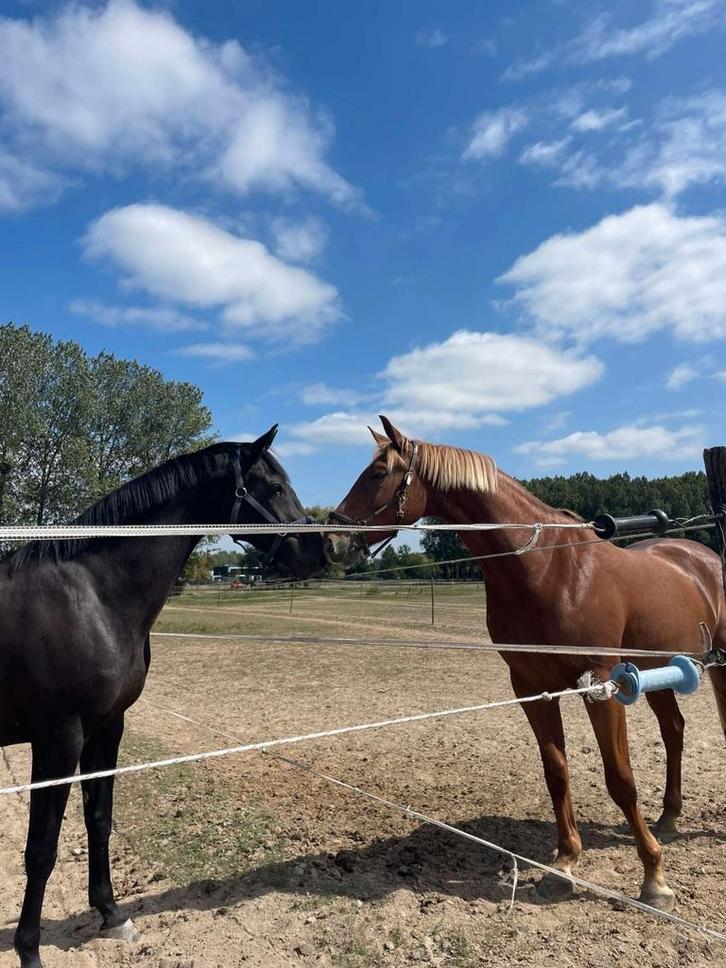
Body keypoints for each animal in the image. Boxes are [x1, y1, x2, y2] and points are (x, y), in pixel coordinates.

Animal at [0, 427, 325, 968]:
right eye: (276, 487)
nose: (317, 550)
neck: (91, 594)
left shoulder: (107, 728)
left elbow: (99, 819)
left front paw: (111, 915)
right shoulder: (58, 739)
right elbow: (41, 849)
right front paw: (29, 950)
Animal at [324, 415, 726, 912]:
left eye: (378, 474)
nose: (333, 540)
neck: (547, 568)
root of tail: (704, 557)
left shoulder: (600, 685)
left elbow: (620, 779)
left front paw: (654, 878)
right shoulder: (532, 687)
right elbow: (557, 773)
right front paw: (564, 864)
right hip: (661, 673)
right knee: (674, 730)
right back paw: (669, 816)